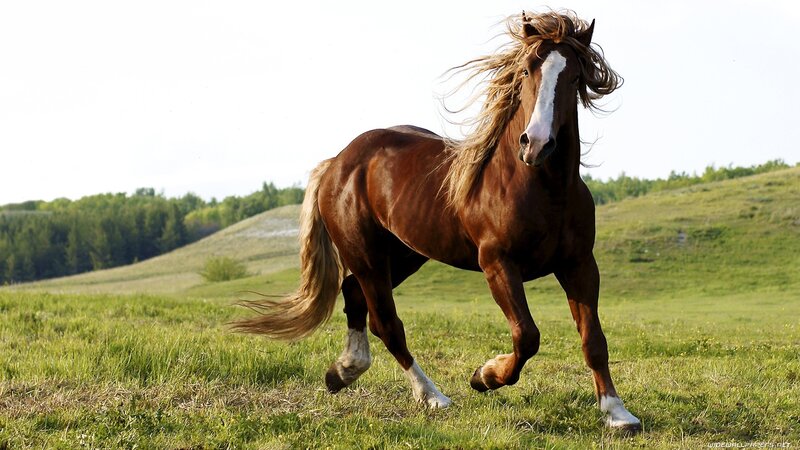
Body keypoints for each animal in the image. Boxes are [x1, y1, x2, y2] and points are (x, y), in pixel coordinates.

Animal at [234, 10, 642, 432]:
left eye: (575, 77)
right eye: (527, 69)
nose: (537, 144)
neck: (540, 187)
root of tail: (338, 162)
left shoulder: (579, 265)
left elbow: (593, 340)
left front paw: (617, 412)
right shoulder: (497, 264)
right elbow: (527, 336)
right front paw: (485, 376)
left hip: (403, 256)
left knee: (354, 296)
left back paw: (343, 371)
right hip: (367, 257)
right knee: (387, 324)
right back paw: (432, 396)